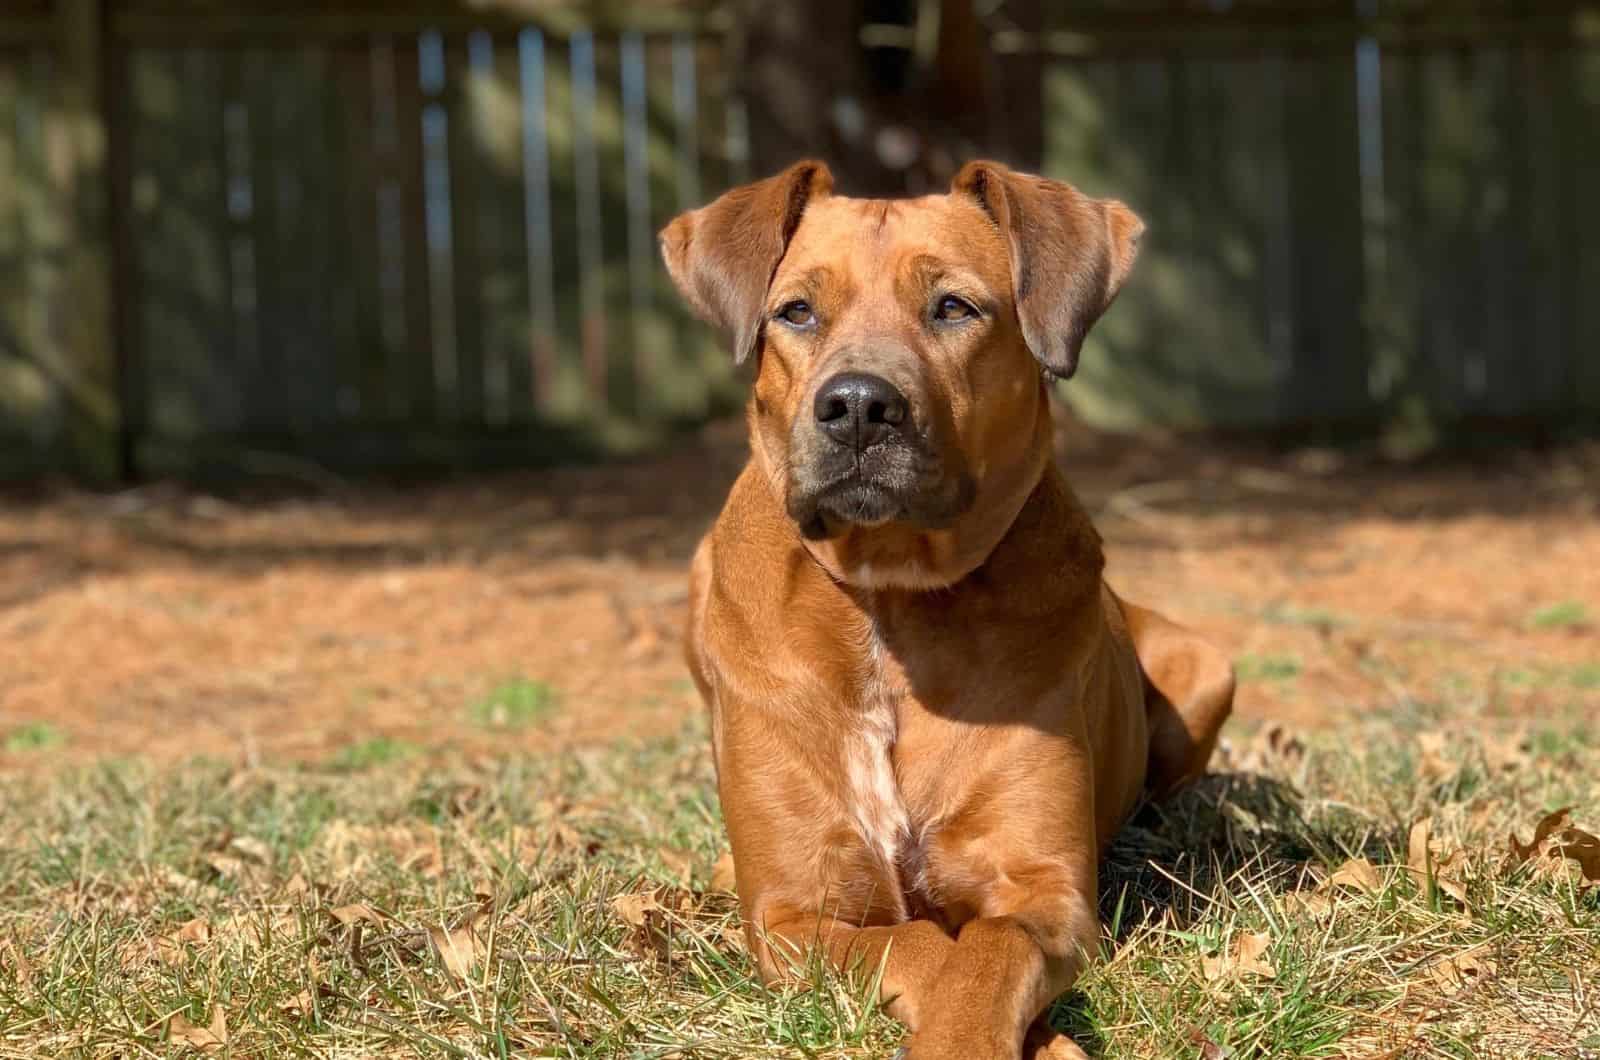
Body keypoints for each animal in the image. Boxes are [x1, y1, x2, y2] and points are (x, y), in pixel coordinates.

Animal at [656, 160, 1228, 1060]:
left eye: (954, 307)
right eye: (796, 311)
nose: (858, 406)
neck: (890, 604)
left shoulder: (1046, 890)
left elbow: (989, 948)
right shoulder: (791, 914)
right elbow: (915, 943)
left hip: (1207, 666)